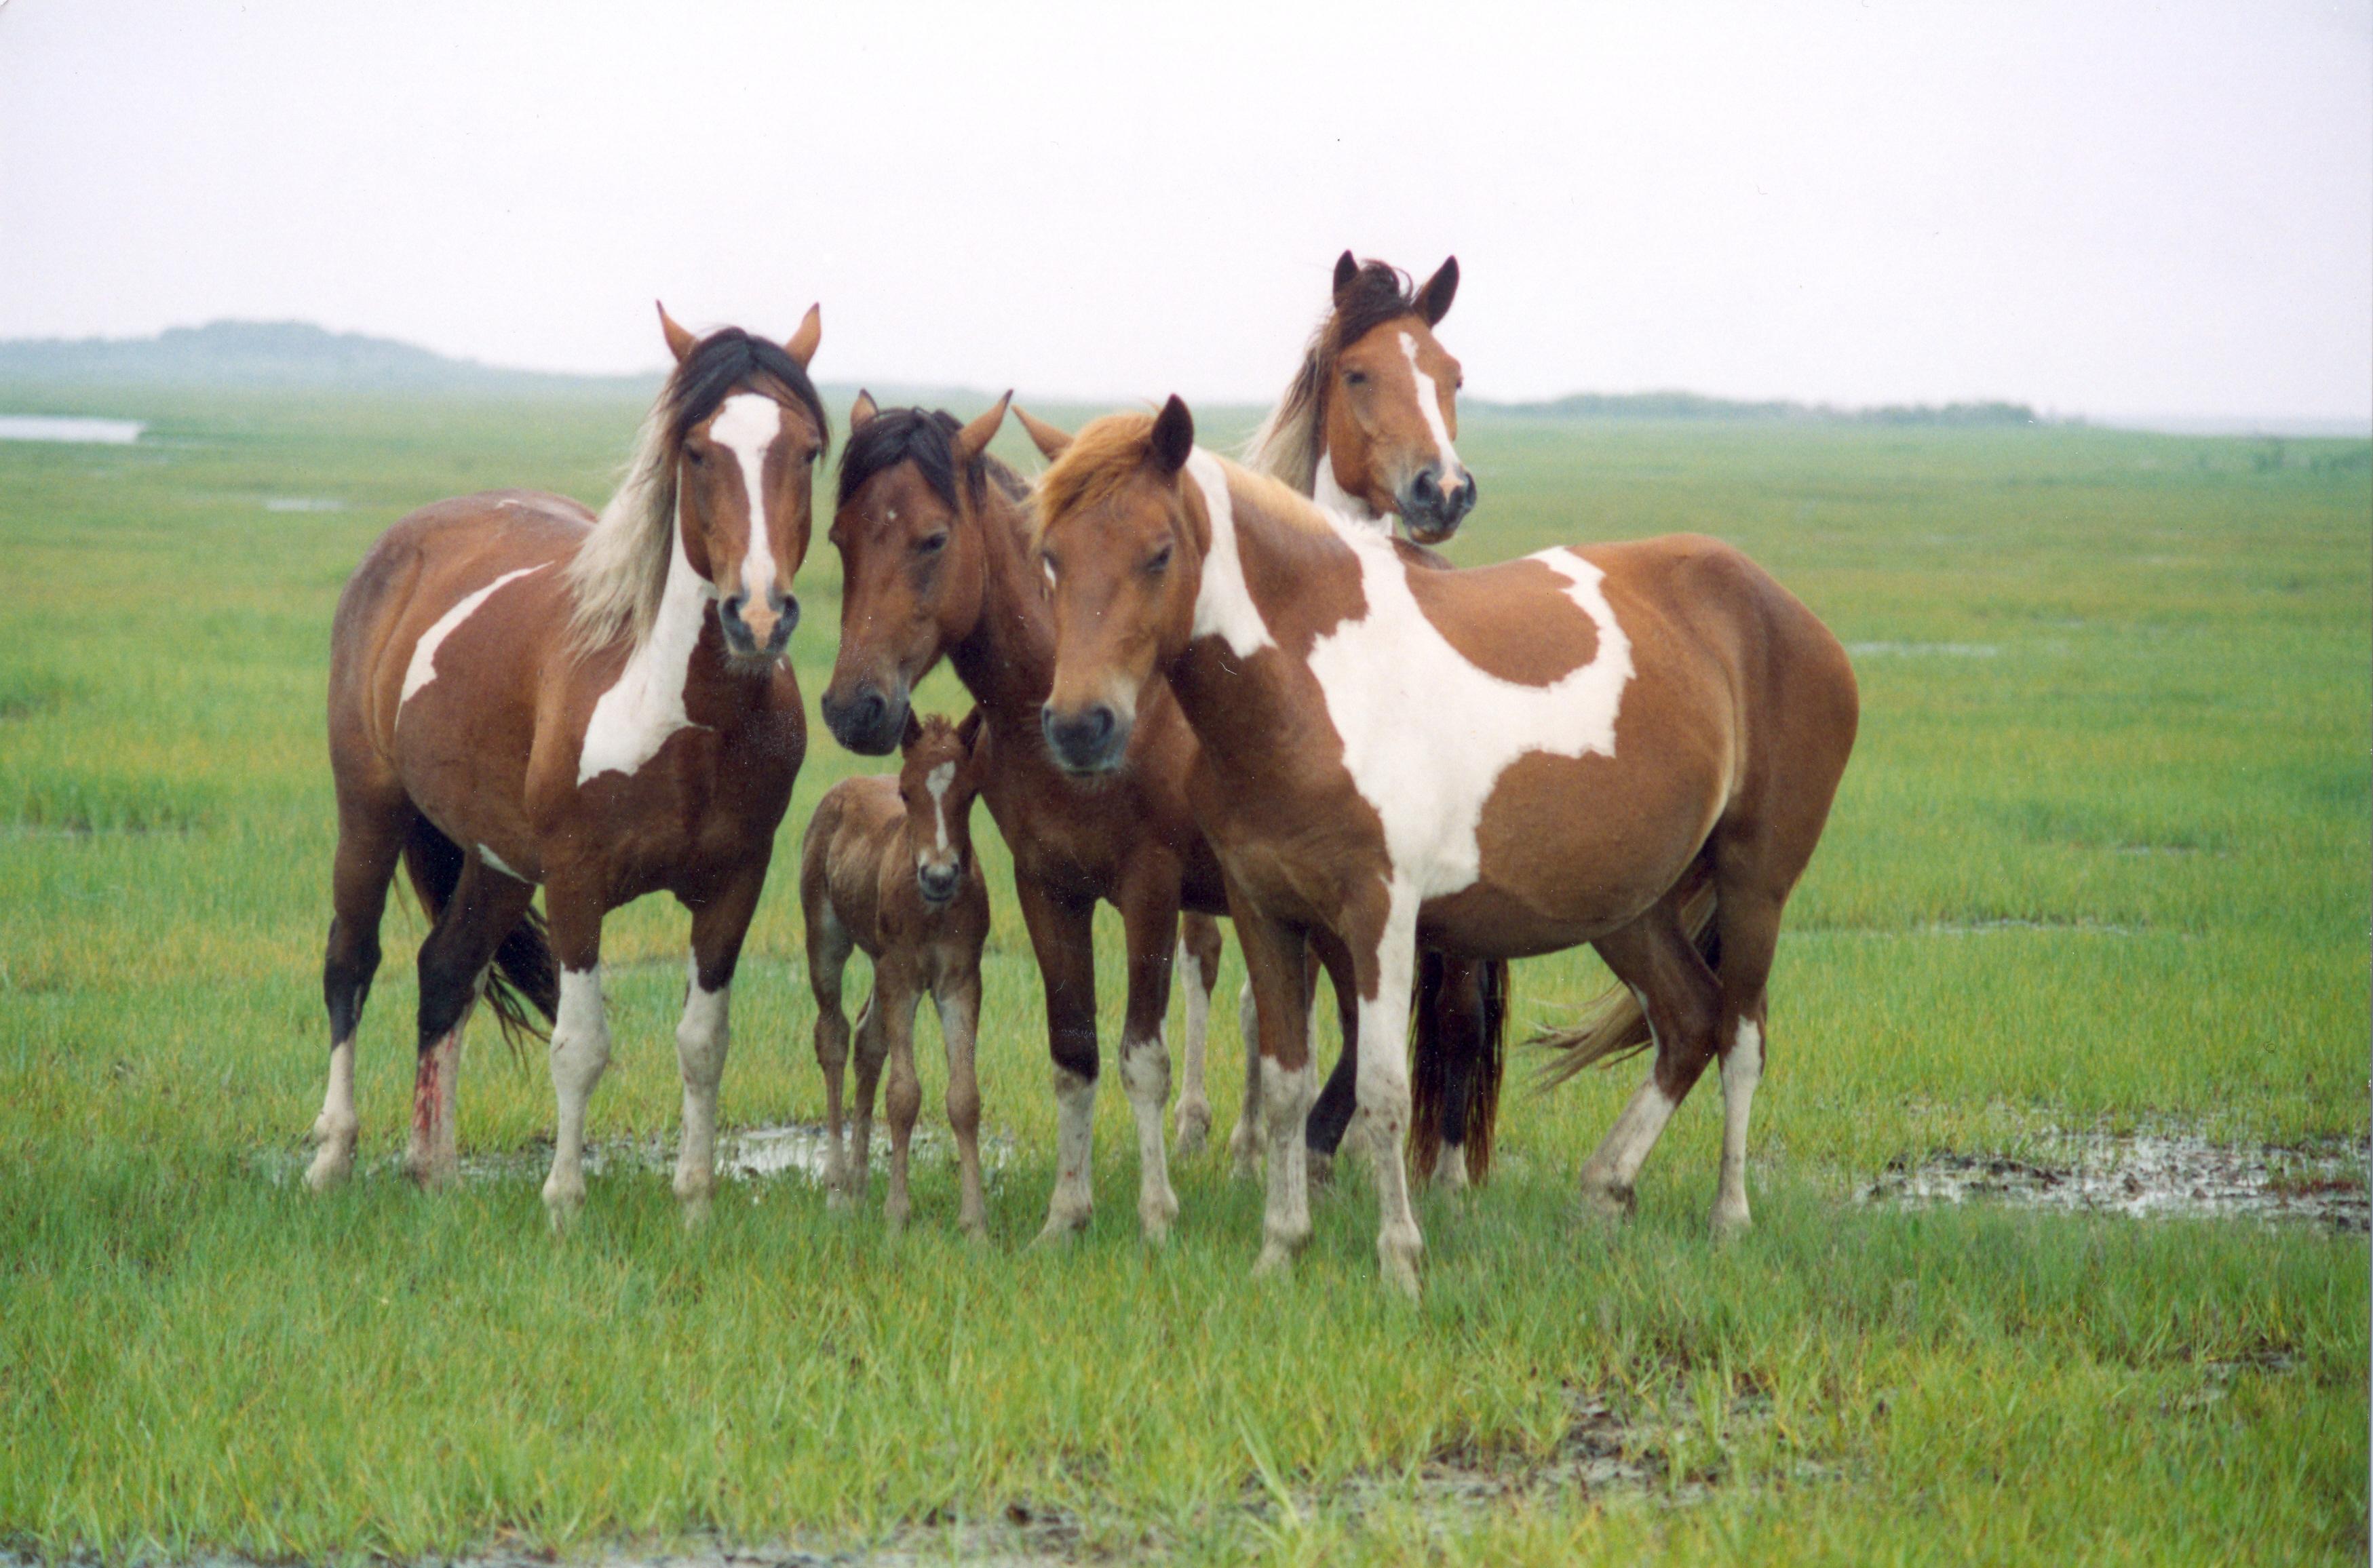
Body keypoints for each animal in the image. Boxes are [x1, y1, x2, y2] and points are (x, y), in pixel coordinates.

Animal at [308, 304, 829, 1230]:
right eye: (698, 451)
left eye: (806, 450)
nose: (760, 616)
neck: (681, 715)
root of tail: (404, 544)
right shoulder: (578, 879)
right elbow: (580, 1045)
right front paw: (564, 1203)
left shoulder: (735, 882)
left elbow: (704, 1043)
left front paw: (695, 1203)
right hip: (369, 810)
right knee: (352, 961)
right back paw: (332, 1157)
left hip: (498, 860)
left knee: (445, 970)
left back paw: (435, 1172)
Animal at [800, 710, 991, 1237]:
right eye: (906, 793)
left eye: (971, 793)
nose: (940, 876)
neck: (932, 910)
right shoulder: (901, 977)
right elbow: (904, 1094)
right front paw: (897, 1217)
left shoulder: (960, 980)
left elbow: (964, 1097)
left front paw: (974, 1225)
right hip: (827, 939)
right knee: (834, 1036)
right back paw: (837, 1189)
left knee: (868, 1041)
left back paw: (861, 1182)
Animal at [1029, 398, 1858, 1296]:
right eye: (1051, 554)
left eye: (1158, 553)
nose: (1079, 726)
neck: (1314, 686)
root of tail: (1785, 611)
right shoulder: (1265, 910)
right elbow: (1285, 1082)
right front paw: (1281, 1248)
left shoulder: (1381, 914)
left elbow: (1383, 1087)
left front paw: (1400, 1260)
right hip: (1627, 907)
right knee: (1688, 1021)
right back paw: (1604, 1189)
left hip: (1754, 886)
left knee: (1741, 1038)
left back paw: (1728, 1217)